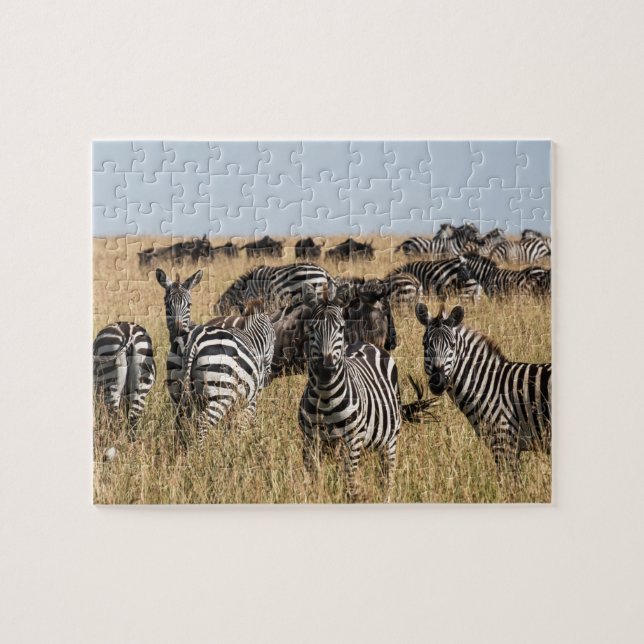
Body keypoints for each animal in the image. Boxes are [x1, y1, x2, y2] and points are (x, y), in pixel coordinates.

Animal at [168, 302, 275, 441]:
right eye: (274, 339)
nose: (268, 379)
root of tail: (194, 339)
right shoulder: (251, 400)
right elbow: (242, 425)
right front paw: (240, 443)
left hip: (177, 393)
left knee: (180, 424)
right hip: (221, 393)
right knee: (202, 423)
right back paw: (201, 448)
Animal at [299, 282, 402, 501]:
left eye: (341, 328)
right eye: (311, 328)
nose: (326, 369)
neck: (325, 398)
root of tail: (365, 343)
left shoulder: (353, 441)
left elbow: (349, 485)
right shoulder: (309, 442)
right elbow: (311, 483)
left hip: (390, 441)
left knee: (387, 478)